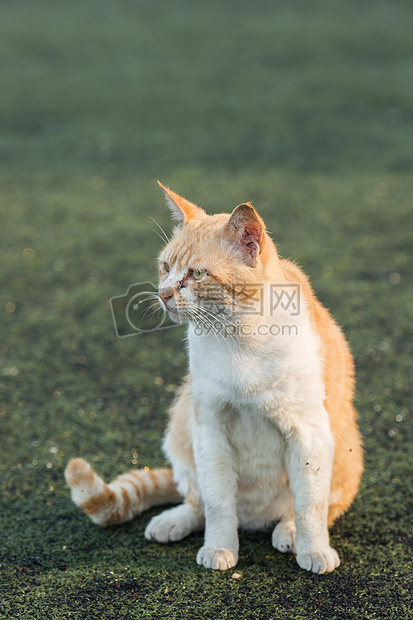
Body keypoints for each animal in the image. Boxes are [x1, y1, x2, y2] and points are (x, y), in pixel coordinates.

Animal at [62, 182, 362, 572]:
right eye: (165, 267)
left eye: (198, 274)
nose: (163, 293)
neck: (239, 339)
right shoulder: (210, 429)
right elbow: (219, 503)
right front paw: (220, 547)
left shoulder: (307, 432)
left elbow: (310, 505)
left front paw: (313, 550)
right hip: (181, 422)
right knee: (198, 503)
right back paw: (174, 521)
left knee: (310, 509)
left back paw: (289, 533)